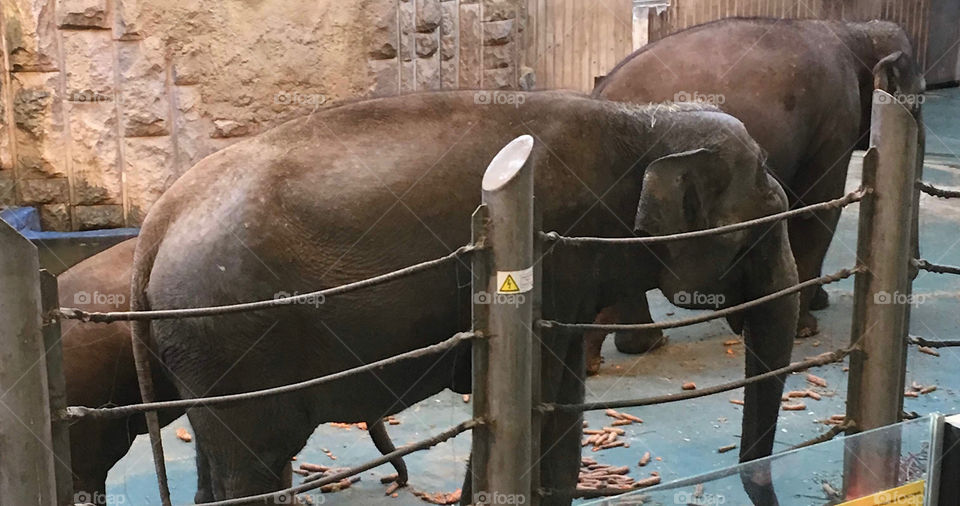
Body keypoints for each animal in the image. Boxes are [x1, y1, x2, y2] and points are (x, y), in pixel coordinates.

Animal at [130, 90, 797, 504]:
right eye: (764, 230)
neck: (645, 122)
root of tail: (155, 223)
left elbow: (560, 400)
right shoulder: (556, 254)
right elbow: (541, 397)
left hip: (200, 352)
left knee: (215, 467)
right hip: (232, 341)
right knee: (257, 462)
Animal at [589, 17, 925, 372]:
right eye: (920, 98)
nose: (914, 269)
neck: (854, 31)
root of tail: (600, 89)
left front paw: (817, 303)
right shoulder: (836, 117)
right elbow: (816, 207)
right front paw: (806, 328)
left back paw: (637, 345)